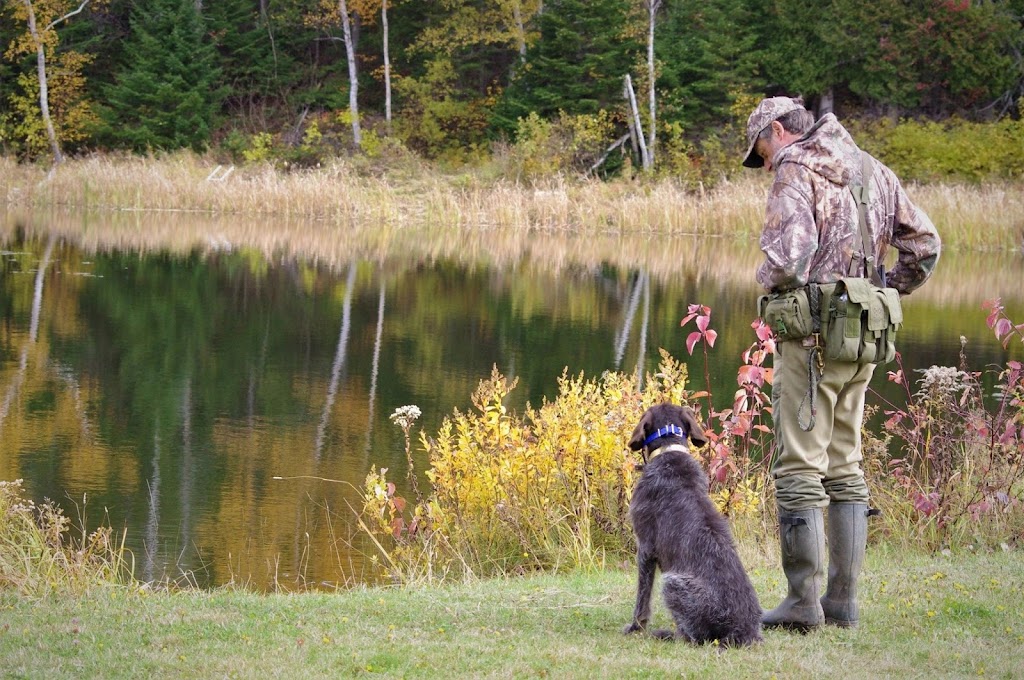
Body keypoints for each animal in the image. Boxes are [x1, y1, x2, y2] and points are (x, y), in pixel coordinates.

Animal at [618, 403, 765, 647]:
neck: (669, 448)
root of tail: (744, 630)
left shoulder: (646, 547)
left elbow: (642, 596)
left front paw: (635, 626)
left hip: (673, 583)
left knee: (693, 637)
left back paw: (666, 634)